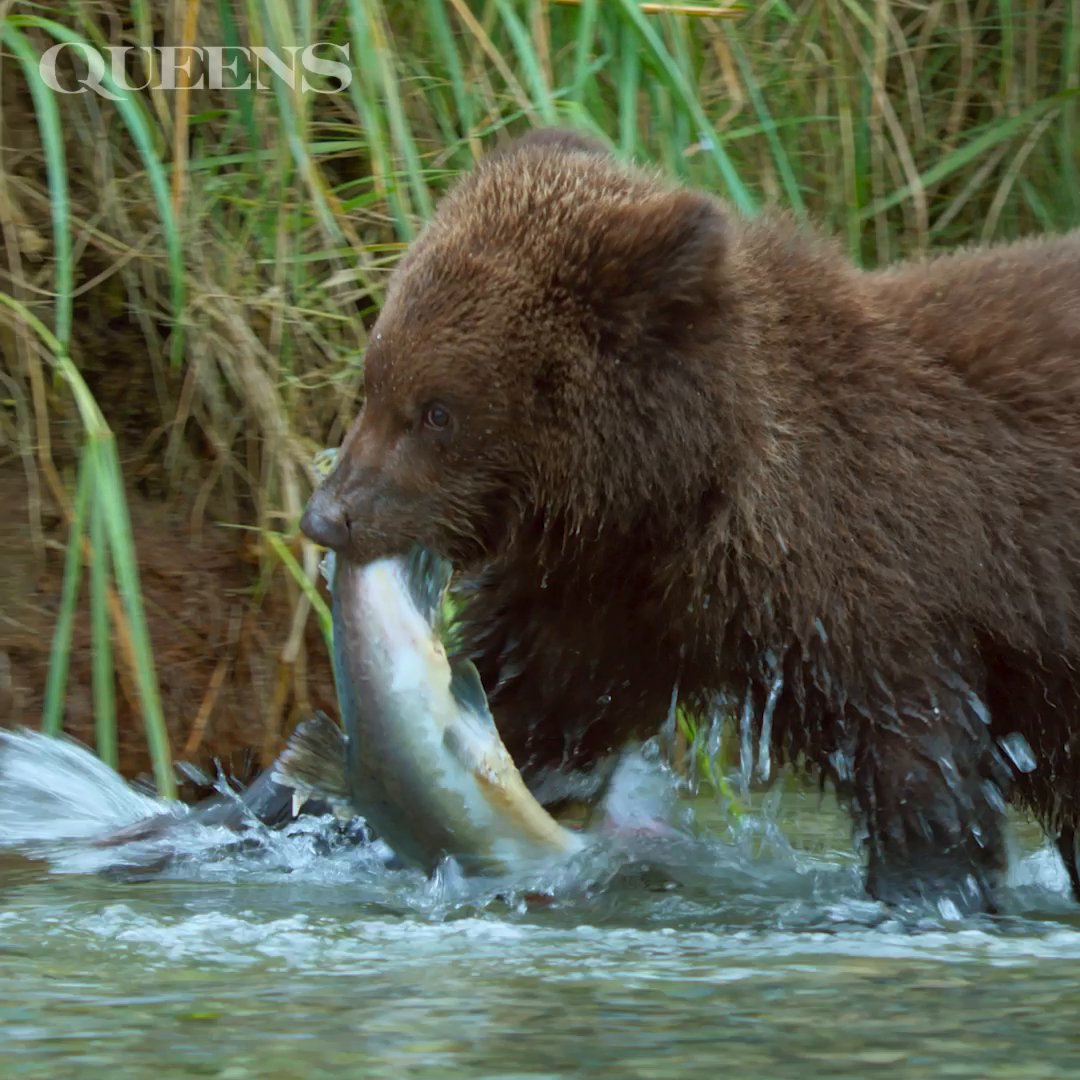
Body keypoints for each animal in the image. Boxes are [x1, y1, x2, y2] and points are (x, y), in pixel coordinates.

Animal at [301, 128, 1080, 913]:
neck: (690, 493)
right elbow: (528, 704)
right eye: (372, 379)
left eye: (437, 411)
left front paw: (928, 885)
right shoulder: (610, 602)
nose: (326, 517)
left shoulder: (879, 583)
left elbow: (918, 755)